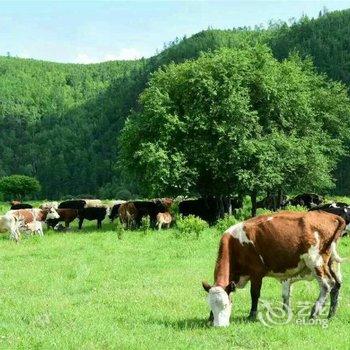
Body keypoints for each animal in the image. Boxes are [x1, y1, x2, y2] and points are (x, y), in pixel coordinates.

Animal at [202, 211, 344, 328]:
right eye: (211, 305)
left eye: (226, 305)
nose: (219, 326)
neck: (235, 243)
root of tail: (330, 216)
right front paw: (210, 317)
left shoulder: (256, 273)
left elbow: (254, 294)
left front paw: (252, 315)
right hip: (330, 263)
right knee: (336, 285)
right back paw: (331, 314)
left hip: (315, 261)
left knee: (327, 285)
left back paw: (314, 313)